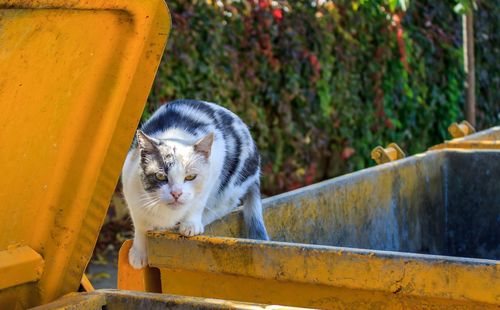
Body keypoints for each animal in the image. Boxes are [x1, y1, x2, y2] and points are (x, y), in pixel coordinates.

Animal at [121, 98, 270, 268]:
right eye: (160, 176)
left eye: (190, 177)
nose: (176, 193)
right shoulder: (130, 185)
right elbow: (140, 224)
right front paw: (139, 253)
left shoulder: (214, 165)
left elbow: (198, 201)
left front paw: (190, 224)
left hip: (232, 186)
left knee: (223, 205)